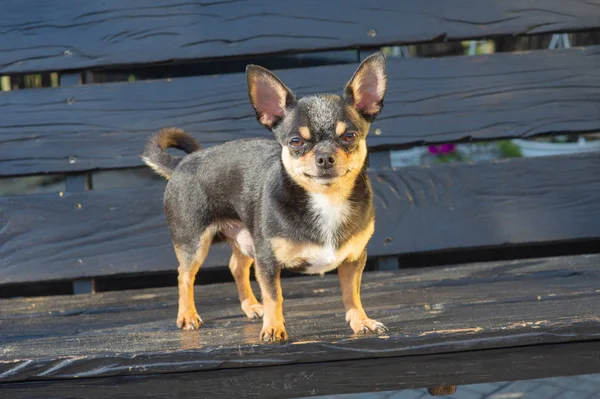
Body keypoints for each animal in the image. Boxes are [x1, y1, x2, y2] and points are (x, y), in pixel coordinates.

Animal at [144, 51, 390, 342]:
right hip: (194, 242)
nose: (324, 157)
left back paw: (251, 306)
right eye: (296, 142)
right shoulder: (268, 260)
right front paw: (273, 328)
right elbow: (274, 295)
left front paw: (361, 321)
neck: (326, 200)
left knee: (236, 267)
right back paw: (188, 315)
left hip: (245, 235)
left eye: (350, 136)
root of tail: (181, 164)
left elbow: (351, 293)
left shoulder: (354, 259)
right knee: (185, 275)